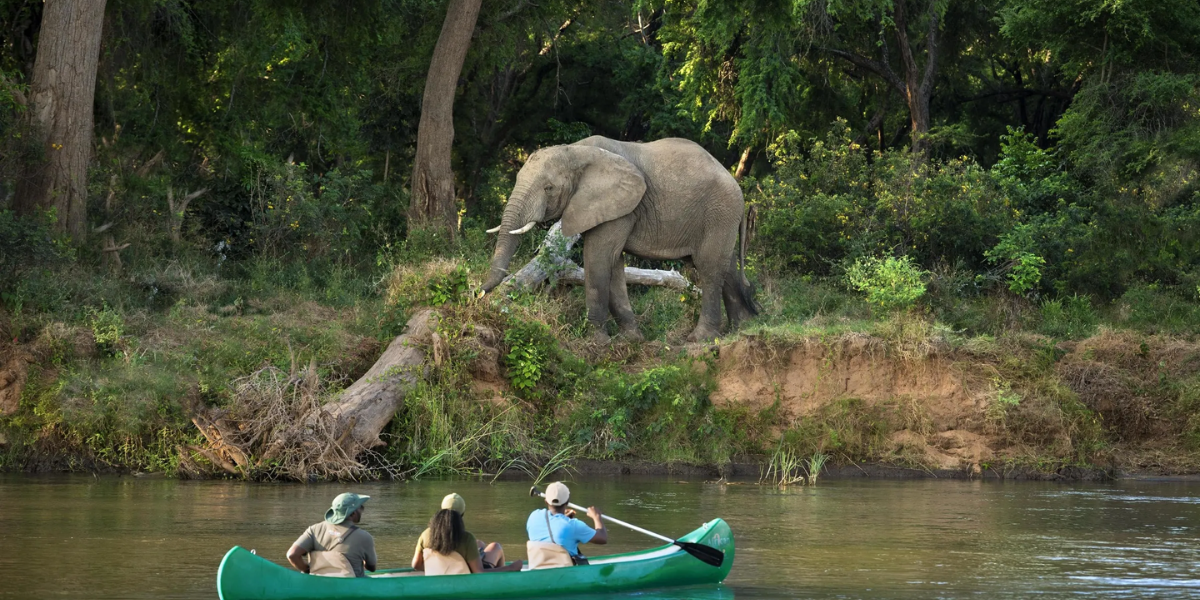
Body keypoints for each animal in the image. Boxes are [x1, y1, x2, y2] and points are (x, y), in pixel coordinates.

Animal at [480, 136, 753, 343]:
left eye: (549, 188)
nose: (479, 293)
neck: (576, 150)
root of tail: (737, 186)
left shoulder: (621, 206)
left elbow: (598, 258)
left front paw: (597, 342)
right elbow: (614, 263)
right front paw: (631, 339)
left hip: (720, 212)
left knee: (709, 268)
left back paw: (700, 339)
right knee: (726, 267)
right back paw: (742, 328)